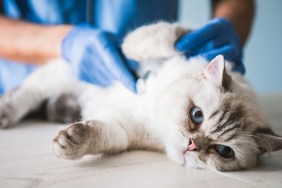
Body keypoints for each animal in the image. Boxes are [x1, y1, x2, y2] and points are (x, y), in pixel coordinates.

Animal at [0, 22, 282, 172]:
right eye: (197, 115)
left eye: (224, 151)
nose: (192, 145)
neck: (154, 110)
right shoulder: (165, 47)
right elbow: (168, 39)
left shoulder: (121, 129)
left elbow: (95, 134)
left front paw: (71, 141)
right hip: (60, 76)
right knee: (25, 93)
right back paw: (5, 113)